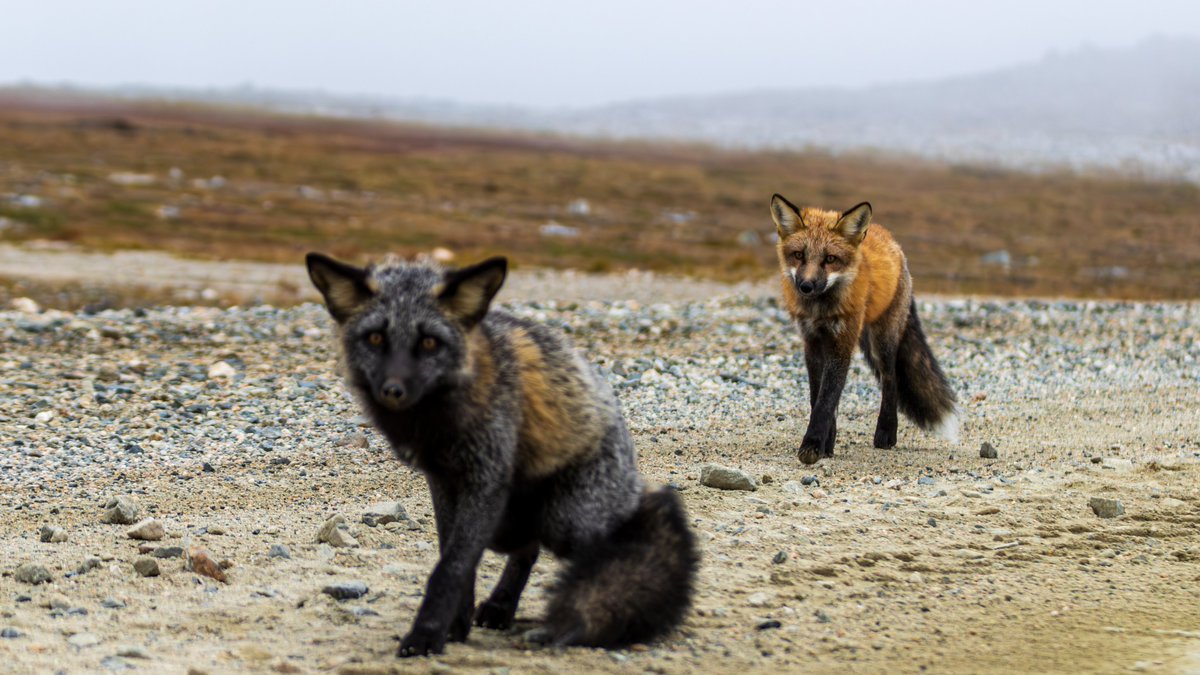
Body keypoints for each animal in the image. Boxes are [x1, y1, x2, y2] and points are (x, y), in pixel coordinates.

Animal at [772, 192, 960, 458]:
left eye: (830, 259)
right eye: (799, 255)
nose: (806, 286)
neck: (821, 310)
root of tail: (891, 239)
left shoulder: (841, 344)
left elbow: (825, 400)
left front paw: (812, 445)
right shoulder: (812, 342)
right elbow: (818, 397)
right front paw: (825, 443)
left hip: (881, 342)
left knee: (891, 378)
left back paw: (886, 433)